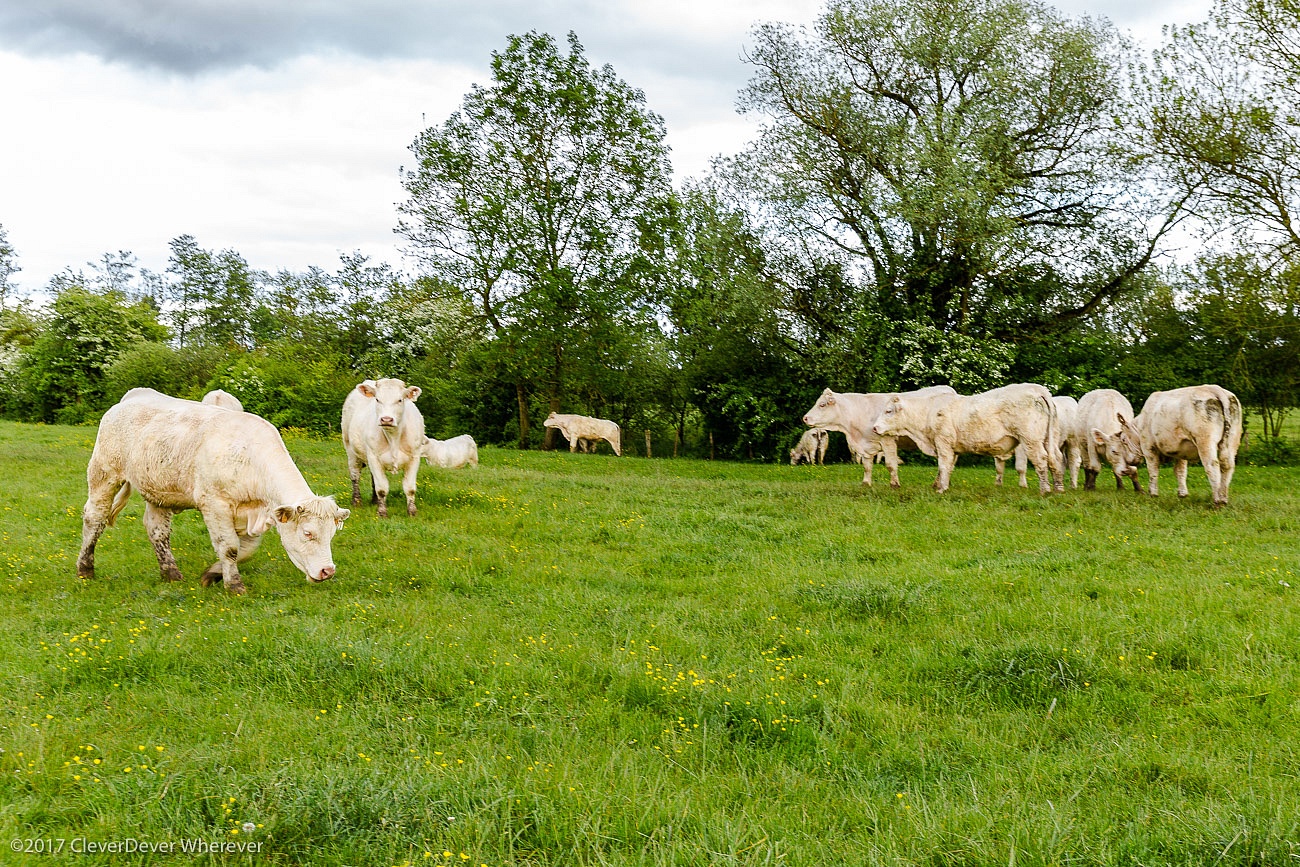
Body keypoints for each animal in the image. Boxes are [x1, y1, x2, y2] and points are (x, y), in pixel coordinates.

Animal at [78, 387, 348, 597]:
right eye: (307, 533)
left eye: (332, 534)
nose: (328, 571)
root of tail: (133, 396)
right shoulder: (214, 504)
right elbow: (229, 546)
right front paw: (234, 586)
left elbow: (246, 549)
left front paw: (212, 573)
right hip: (104, 473)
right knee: (94, 518)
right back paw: (85, 569)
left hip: (158, 490)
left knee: (157, 530)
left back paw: (171, 573)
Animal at [343, 376, 423, 514]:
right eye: (377, 399)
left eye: (400, 400)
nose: (386, 419)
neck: (393, 437)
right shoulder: (373, 457)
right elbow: (381, 488)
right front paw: (382, 512)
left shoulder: (414, 457)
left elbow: (410, 488)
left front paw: (412, 511)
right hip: (350, 448)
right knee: (355, 475)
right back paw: (356, 501)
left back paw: (374, 501)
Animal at [795, 387, 961, 488]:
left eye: (822, 405)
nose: (805, 418)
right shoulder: (866, 445)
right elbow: (867, 466)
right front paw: (866, 483)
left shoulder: (888, 440)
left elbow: (890, 464)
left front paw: (894, 484)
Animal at [873, 384, 1066, 499]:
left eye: (888, 411)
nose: (874, 427)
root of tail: (1038, 389)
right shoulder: (952, 449)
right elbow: (947, 468)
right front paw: (940, 485)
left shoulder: (943, 443)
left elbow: (943, 465)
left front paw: (941, 489)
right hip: (1049, 438)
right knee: (1055, 459)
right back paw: (1059, 488)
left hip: (1031, 439)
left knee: (1041, 460)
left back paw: (1045, 490)